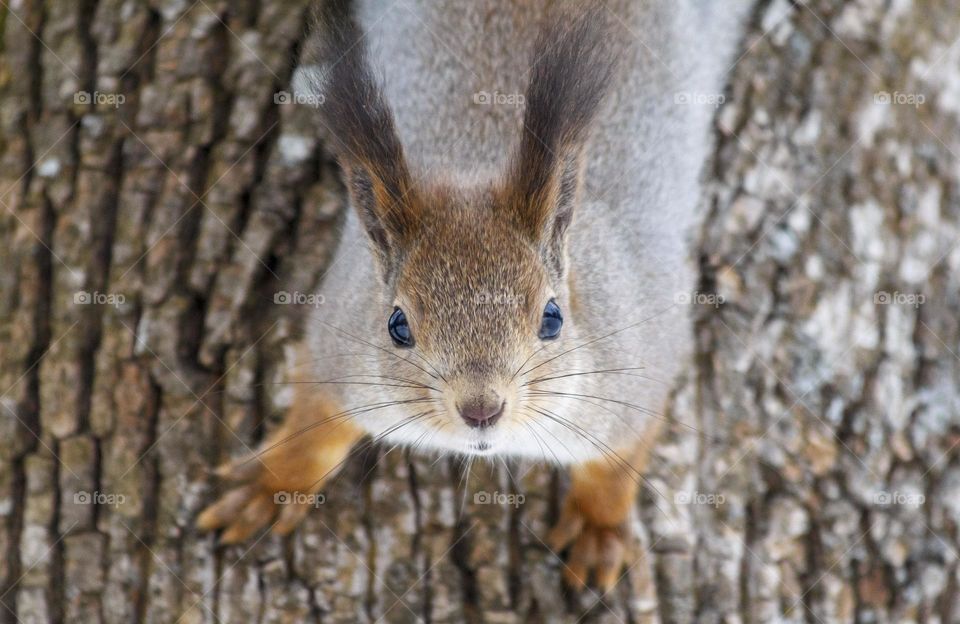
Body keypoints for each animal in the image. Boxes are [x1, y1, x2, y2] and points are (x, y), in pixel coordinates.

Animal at [198, 0, 753, 592]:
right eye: (398, 325)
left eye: (553, 318)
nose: (481, 409)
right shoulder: (340, 344)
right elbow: (313, 424)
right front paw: (268, 485)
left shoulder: (641, 364)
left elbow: (617, 462)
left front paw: (599, 529)